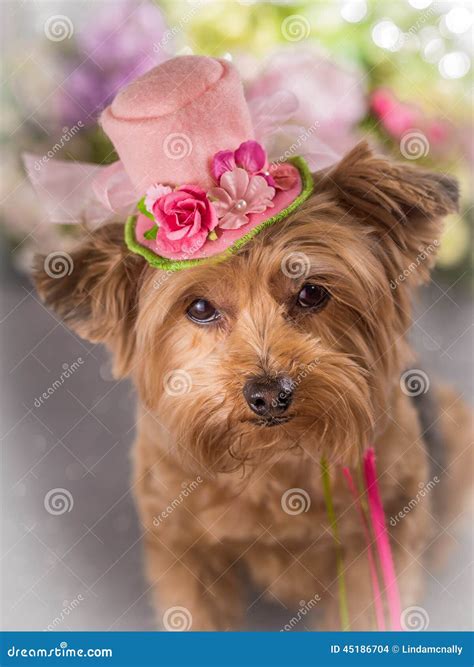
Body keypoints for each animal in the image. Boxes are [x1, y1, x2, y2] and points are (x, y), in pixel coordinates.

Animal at [33, 142, 470, 632]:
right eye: (200, 307)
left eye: (311, 293)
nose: (270, 394)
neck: (272, 459)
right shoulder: (183, 551)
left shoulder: (376, 547)